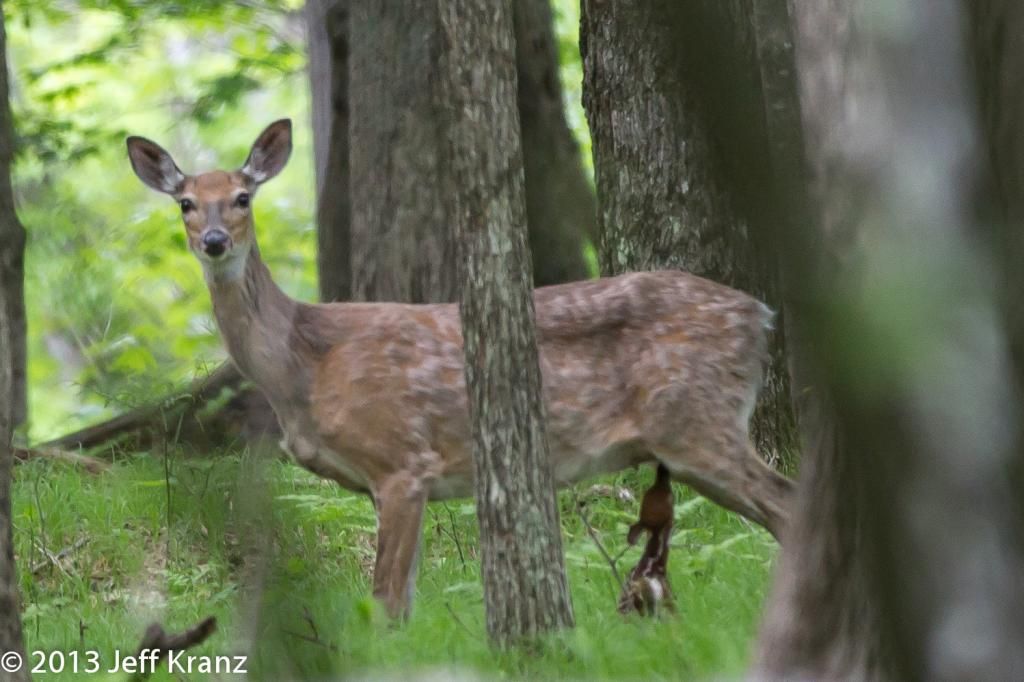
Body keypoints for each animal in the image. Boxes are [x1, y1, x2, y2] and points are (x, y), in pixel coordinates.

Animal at [126, 119, 795, 618]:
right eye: (185, 204)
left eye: (242, 198)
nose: (214, 240)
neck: (303, 368)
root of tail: (760, 315)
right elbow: (404, 600)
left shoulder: (401, 458)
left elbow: (385, 601)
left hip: (695, 418)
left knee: (786, 504)